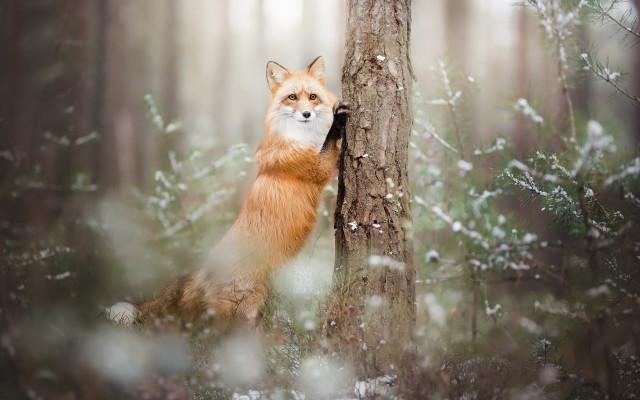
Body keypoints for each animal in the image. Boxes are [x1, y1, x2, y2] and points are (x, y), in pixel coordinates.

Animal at [107, 56, 350, 330]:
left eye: (312, 96)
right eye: (292, 97)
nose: (306, 114)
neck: (304, 138)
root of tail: (202, 272)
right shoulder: (315, 168)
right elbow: (330, 142)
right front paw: (338, 120)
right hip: (243, 313)